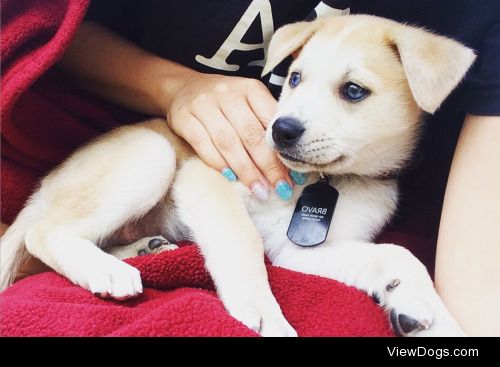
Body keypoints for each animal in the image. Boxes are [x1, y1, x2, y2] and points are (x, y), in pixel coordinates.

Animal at [0, 15, 476, 336]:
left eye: (354, 91)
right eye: (295, 79)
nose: (280, 130)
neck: (325, 180)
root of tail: (46, 185)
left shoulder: (300, 251)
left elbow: (398, 254)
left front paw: (431, 314)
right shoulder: (206, 179)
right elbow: (240, 241)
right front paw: (263, 313)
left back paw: (141, 249)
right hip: (153, 155)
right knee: (42, 234)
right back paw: (107, 270)